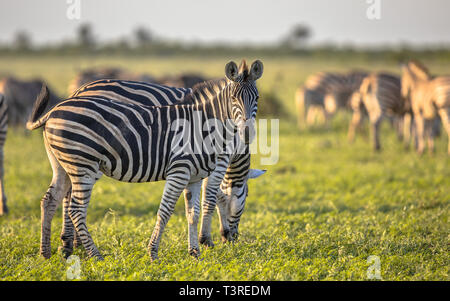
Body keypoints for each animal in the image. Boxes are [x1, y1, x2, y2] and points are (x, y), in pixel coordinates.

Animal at [26, 59, 264, 258]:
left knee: (51, 199)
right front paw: (158, 252)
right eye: (233, 99)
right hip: (84, 165)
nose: (231, 238)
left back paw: (49, 252)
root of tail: (56, 108)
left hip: (64, 164)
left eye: (257, 99)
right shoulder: (184, 170)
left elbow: (192, 213)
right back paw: (93, 254)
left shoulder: (194, 177)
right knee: (75, 208)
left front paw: (194, 252)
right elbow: (179, 207)